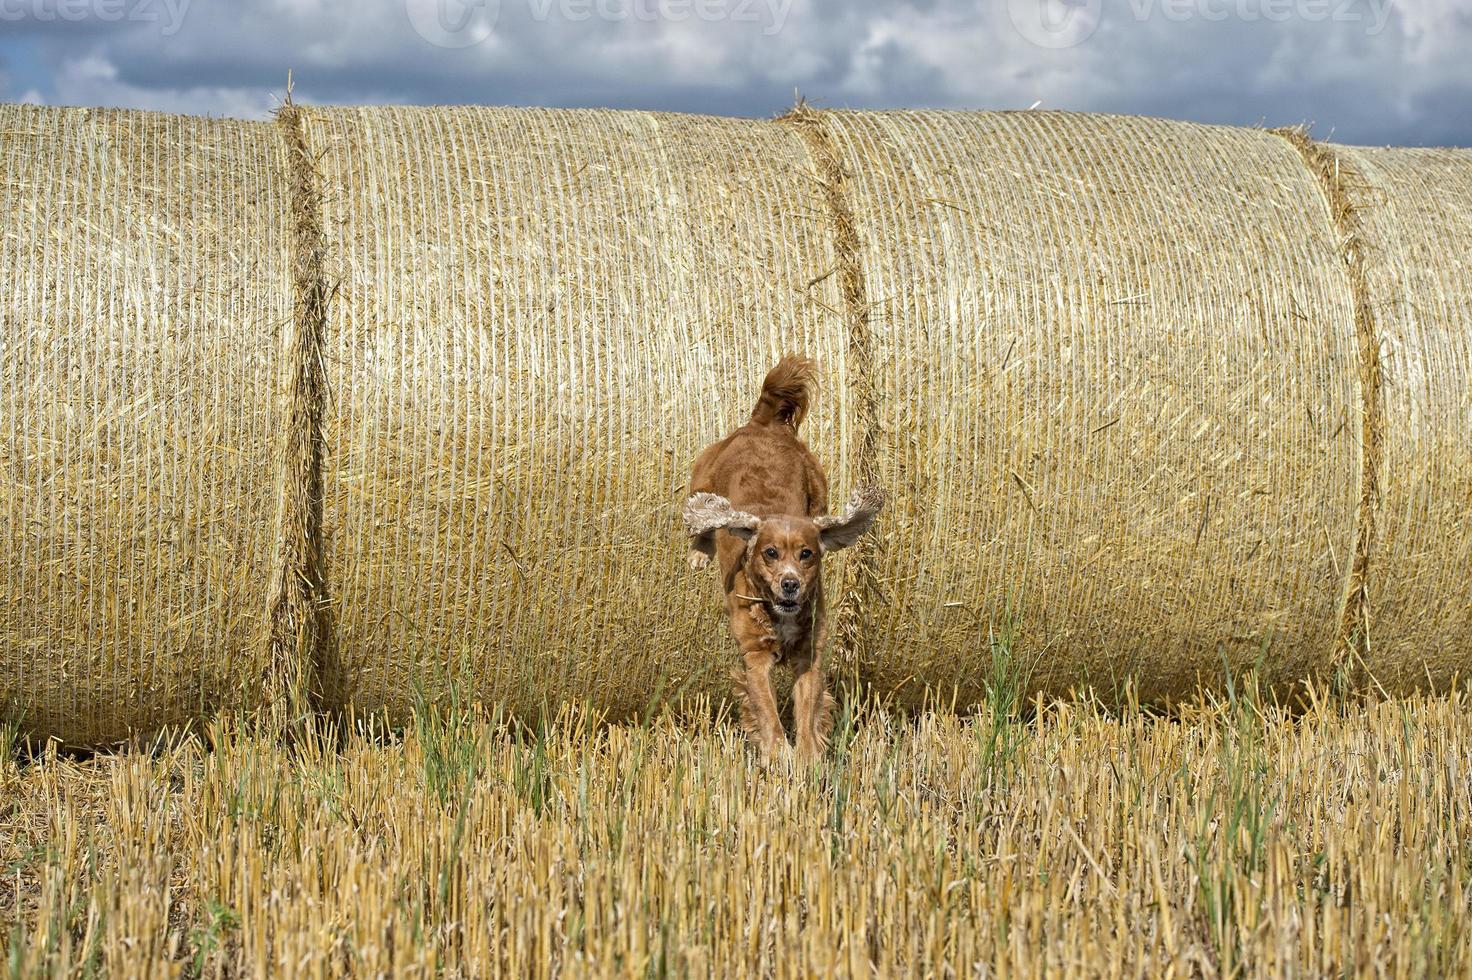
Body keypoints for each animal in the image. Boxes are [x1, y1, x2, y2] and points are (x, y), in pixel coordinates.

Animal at [680, 354, 877, 759]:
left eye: (807, 554)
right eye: (769, 553)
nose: (790, 584)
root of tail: (763, 423)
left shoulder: (809, 653)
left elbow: (807, 708)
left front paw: (807, 757)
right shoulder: (755, 657)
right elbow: (768, 712)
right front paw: (778, 756)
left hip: (818, 487)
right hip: (701, 477)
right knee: (701, 515)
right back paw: (699, 553)